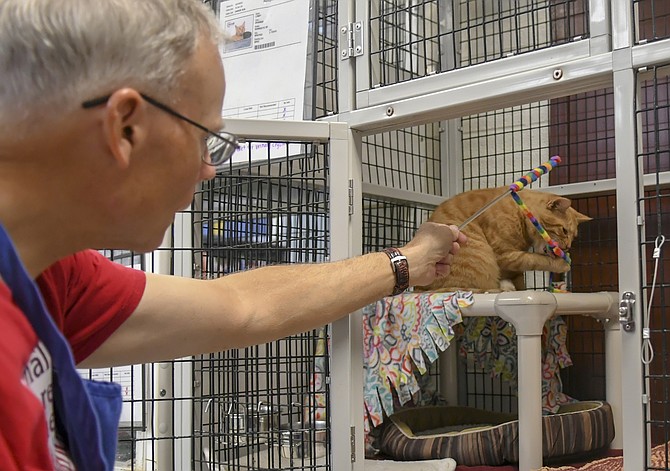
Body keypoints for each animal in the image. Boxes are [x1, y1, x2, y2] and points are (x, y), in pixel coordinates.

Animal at [420, 187, 592, 292]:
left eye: (574, 237)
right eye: (564, 230)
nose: (568, 247)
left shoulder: (514, 268)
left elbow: (521, 281)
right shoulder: (505, 255)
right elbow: (536, 259)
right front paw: (562, 264)